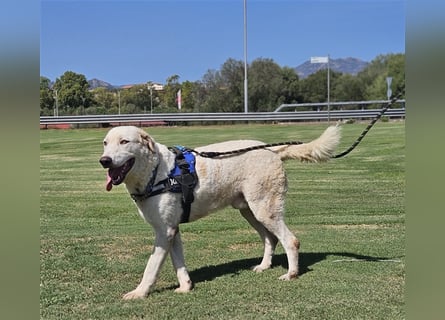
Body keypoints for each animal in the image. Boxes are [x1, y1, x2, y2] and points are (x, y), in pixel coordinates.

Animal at [99, 124, 338, 298]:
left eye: (124, 141)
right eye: (105, 143)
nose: (104, 160)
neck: (157, 173)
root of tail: (271, 149)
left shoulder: (164, 231)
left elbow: (151, 267)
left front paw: (139, 293)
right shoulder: (172, 230)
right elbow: (179, 263)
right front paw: (185, 287)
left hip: (265, 209)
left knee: (291, 240)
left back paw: (291, 274)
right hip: (250, 211)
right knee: (270, 238)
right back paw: (264, 266)